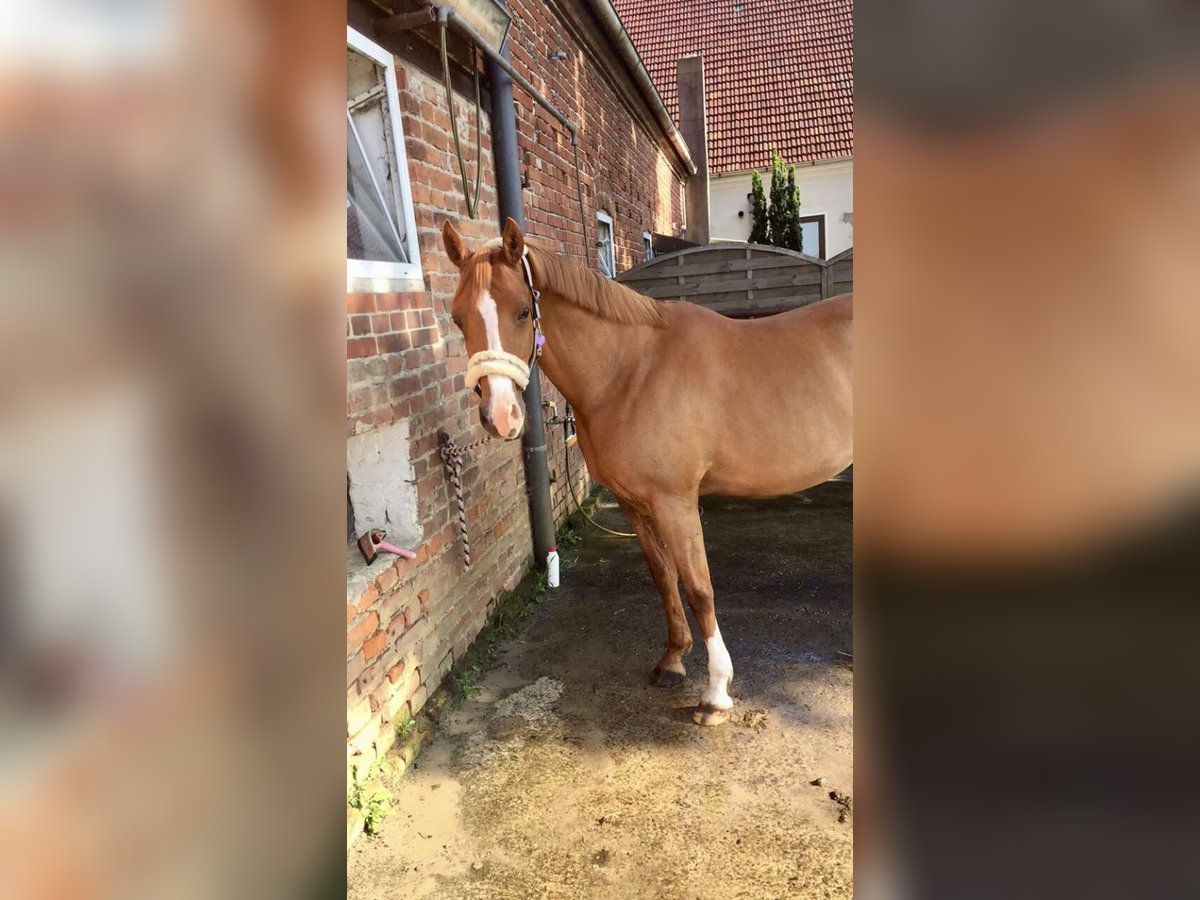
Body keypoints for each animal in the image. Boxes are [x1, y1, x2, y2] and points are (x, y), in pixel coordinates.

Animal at [444, 217, 854, 724]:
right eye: (457, 318)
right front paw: (673, 660)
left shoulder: (675, 502)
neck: (632, 371)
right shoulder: (634, 503)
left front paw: (715, 694)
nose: (500, 416)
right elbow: (664, 576)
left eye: (523, 312)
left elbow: (698, 588)